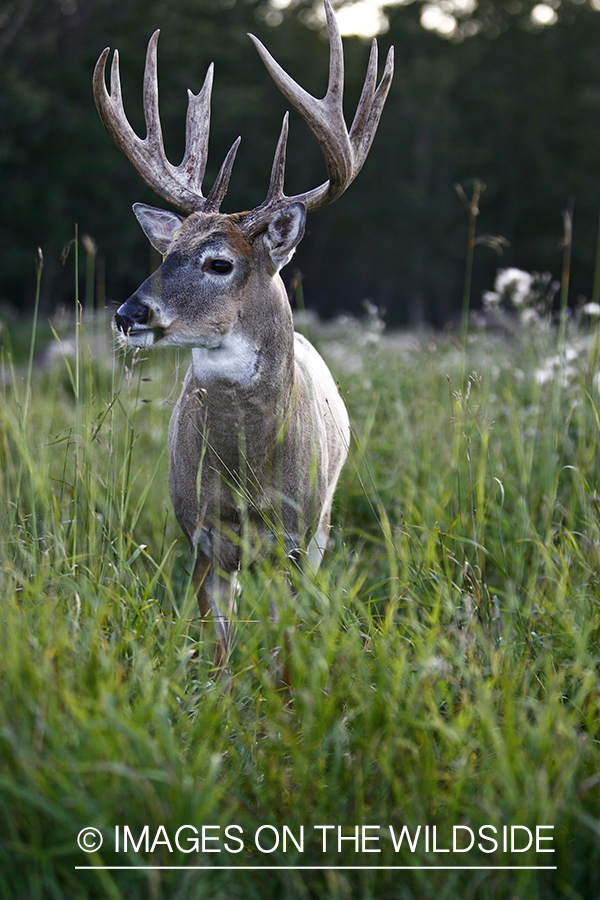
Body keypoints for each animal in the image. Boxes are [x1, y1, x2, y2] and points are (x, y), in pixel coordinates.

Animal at [94, 0, 394, 676]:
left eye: (219, 262)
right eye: (167, 252)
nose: (128, 313)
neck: (247, 478)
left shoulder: (295, 539)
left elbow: (285, 643)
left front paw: (284, 693)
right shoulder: (202, 539)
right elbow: (219, 649)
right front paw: (222, 694)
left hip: (324, 523)